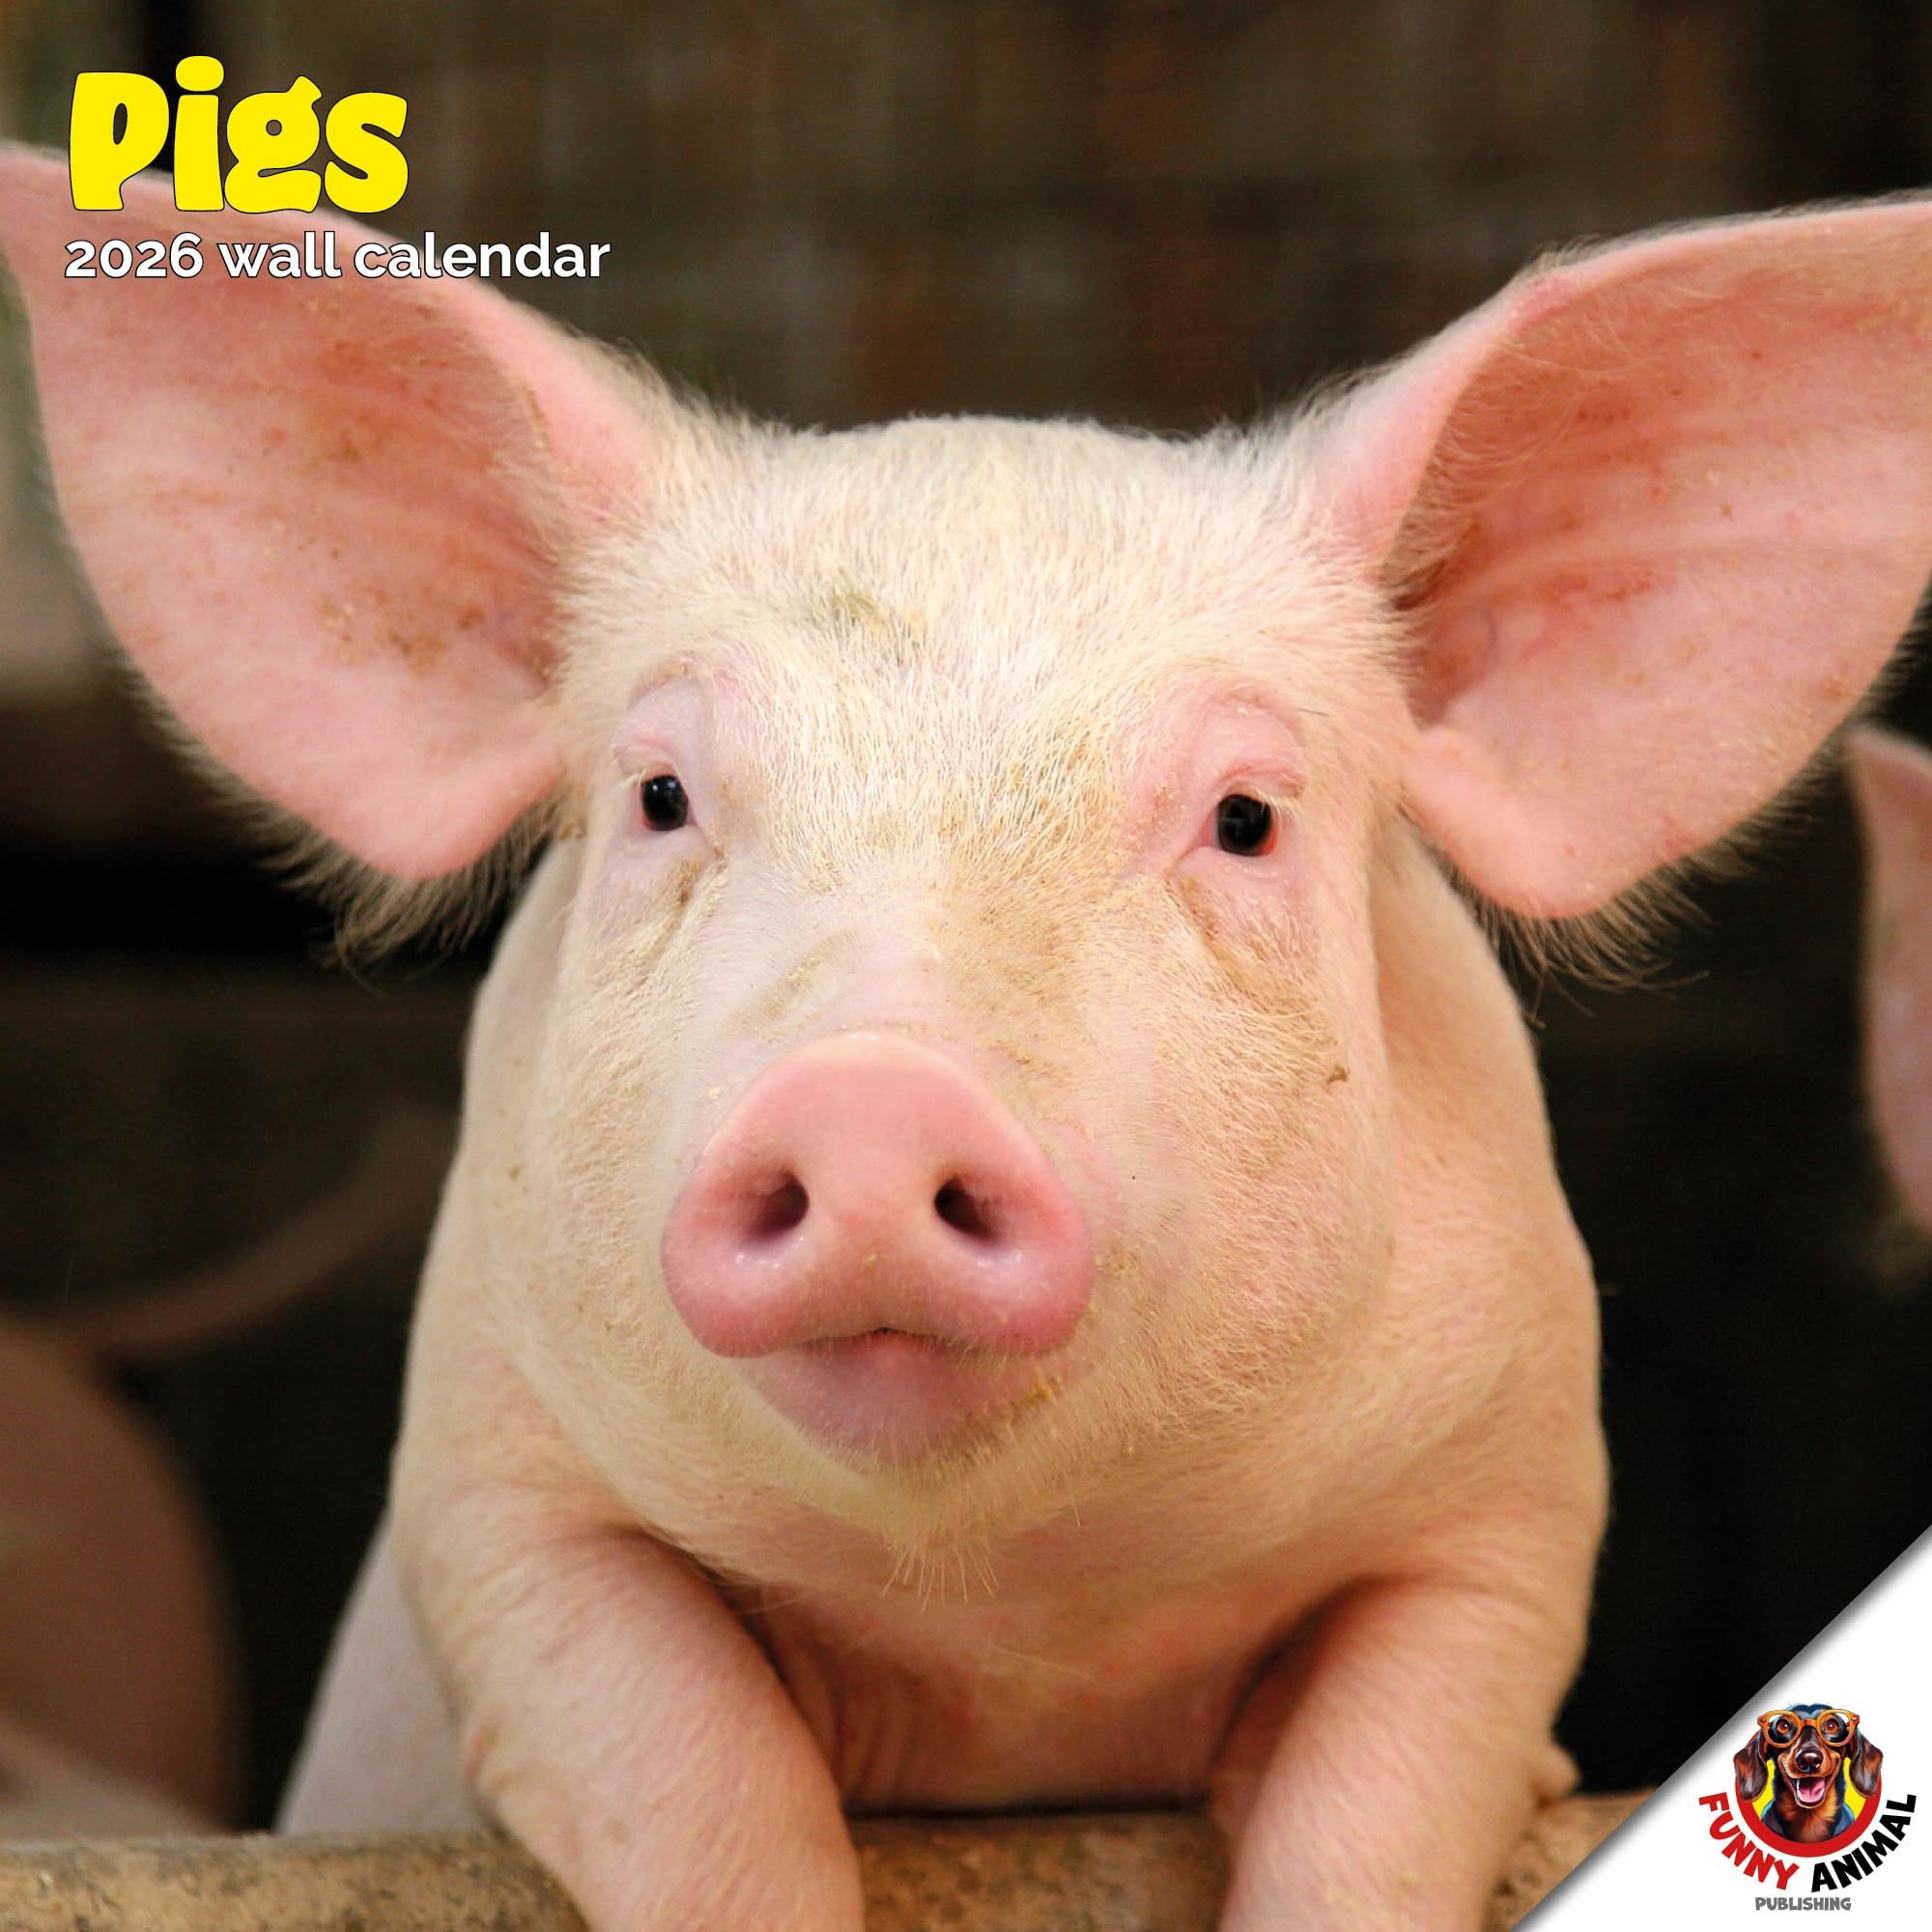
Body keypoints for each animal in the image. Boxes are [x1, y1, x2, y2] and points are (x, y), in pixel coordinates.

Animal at [5, 143, 1932, 1929]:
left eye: (1246, 818)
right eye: (660, 795)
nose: (875, 1096)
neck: (1008, 1630)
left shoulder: (1510, 1503)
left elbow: (1382, 1800)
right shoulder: (494, 1486)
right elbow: (689, 1775)